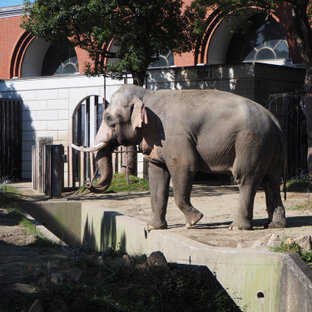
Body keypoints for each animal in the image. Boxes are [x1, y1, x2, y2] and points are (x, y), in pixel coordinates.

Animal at [72, 84, 286, 230]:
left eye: (108, 119)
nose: (88, 183)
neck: (147, 95)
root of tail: (275, 121)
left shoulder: (172, 135)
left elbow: (184, 166)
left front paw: (193, 221)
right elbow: (157, 174)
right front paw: (153, 227)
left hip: (251, 141)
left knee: (246, 178)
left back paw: (236, 227)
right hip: (269, 147)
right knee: (272, 181)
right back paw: (274, 225)